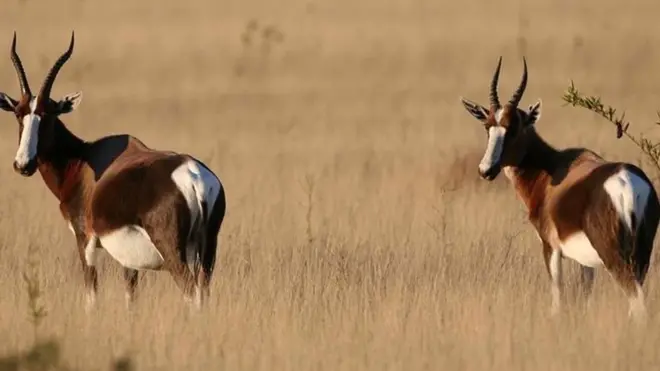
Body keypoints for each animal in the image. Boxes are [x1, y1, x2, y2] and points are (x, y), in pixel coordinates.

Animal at [0, 31, 227, 310]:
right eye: (19, 114)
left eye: (48, 114)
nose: (23, 164)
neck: (84, 161)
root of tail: (194, 177)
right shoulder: (128, 259)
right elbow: (131, 298)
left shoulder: (85, 239)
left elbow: (91, 296)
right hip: (208, 252)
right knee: (202, 292)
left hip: (174, 252)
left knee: (190, 292)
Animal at [458, 56, 660, 322]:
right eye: (488, 126)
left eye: (513, 127)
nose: (486, 170)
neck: (552, 170)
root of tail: (627, 183)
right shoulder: (587, 263)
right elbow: (585, 298)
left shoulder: (550, 247)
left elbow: (557, 299)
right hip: (641, 255)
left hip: (615, 257)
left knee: (637, 303)